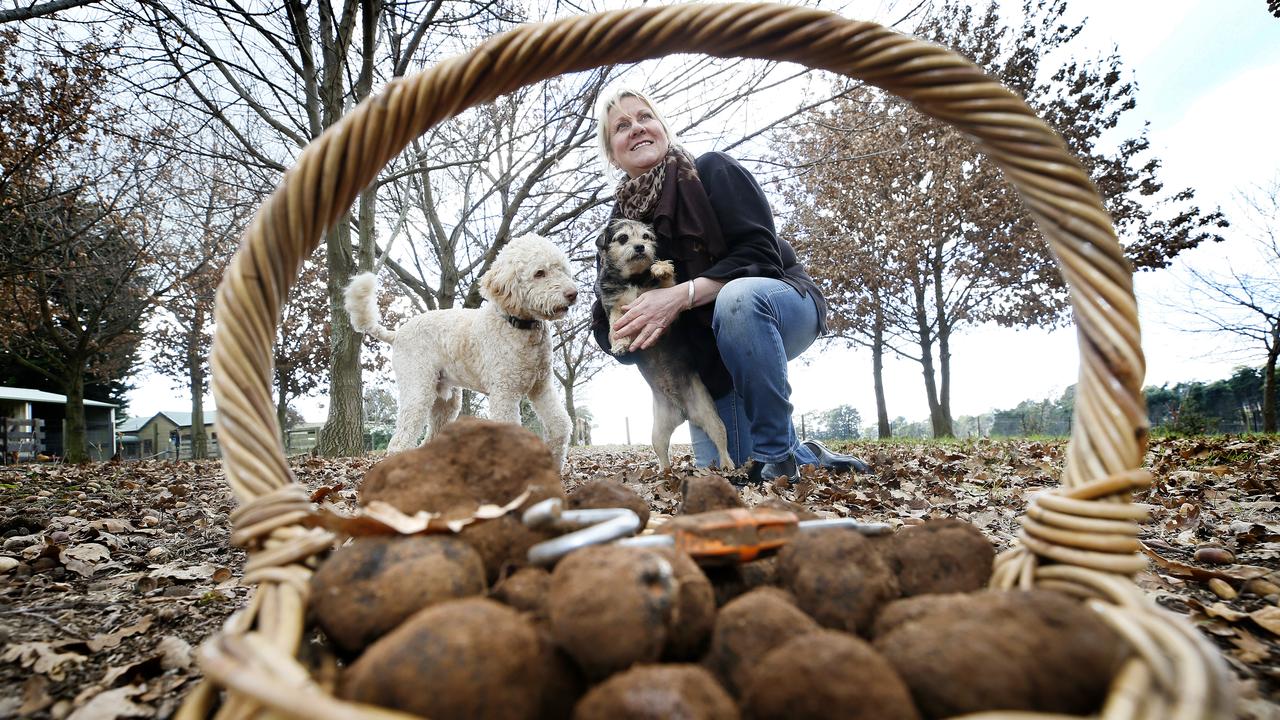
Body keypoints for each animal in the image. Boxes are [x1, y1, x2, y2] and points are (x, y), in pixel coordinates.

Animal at [343, 233, 578, 461]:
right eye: (539, 273)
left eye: (562, 269)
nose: (573, 293)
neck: (518, 326)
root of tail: (397, 333)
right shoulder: (505, 393)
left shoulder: (541, 387)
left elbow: (560, 426)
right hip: (418, 389)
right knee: (399, 442)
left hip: (445, 402)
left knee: (429, 438)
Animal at [596, 221, 737, 474]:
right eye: (623, 238)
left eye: (646, 237)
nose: (640, 247)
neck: (633, 280)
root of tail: (682, 411)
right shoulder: (615, 307)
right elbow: (615, 326)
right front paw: (620, 344)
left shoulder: (665, 305)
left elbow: (667, 284)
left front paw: (661, 268)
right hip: (658, 432)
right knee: (663, 453)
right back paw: (664, 473)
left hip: (711, 417)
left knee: (721, 441)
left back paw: (727, 465)